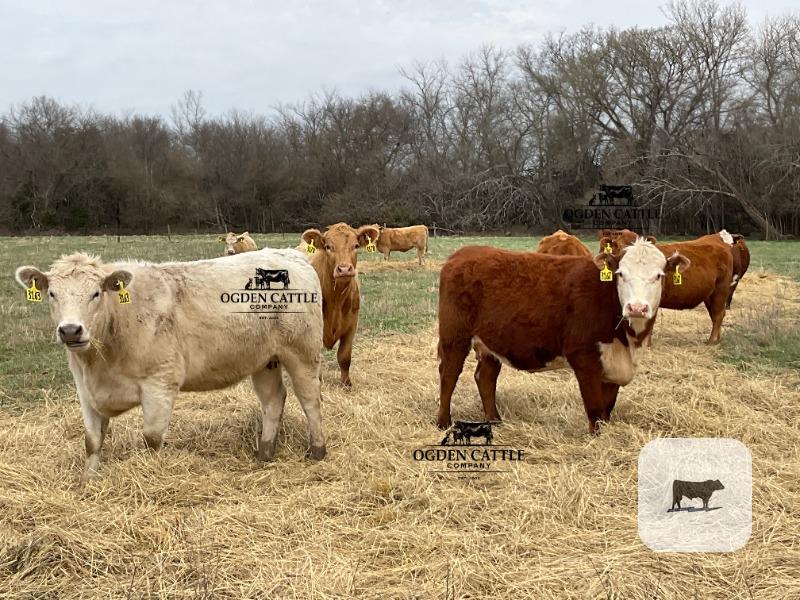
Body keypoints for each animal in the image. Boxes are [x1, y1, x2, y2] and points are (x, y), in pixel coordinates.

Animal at [15, 250, 326, 481]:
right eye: (52, 294)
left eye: (96, 293)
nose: (70, 330)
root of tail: (291, 254)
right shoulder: (85, 389)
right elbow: (92, 441)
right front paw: (88, 481)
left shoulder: (160, 382)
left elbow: (151, 439)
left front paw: (151, 475)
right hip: (264, 360)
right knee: (273, 399)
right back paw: (264, 453)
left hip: (302, 352)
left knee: (310, 400)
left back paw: (318, 450)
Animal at [300, 222, 381, 386]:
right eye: (328, 247)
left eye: (356, 246)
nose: (344, 269)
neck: (335, 300)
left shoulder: (351, 325)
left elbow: (344, 356)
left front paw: (346, 383)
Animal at [437, 239, 690, 432]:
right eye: (620, 274)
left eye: (659, 275)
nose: (637, 307)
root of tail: (463, 253)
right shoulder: (583, 357)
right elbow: (595, 407)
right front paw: (595, 438)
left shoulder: (613, 363)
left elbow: (607, 407)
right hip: (454, 335)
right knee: (448, 376)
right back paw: (443, 422)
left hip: (491, 341)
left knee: (486, 378)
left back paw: (495, 420)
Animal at [599, 229, 734, 344]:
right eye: (618, 246)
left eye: (658, 275)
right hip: (710, 296)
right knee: (717, 314)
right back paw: (717, 339)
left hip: (721, 291)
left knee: (718, 315)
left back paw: (711, 341)